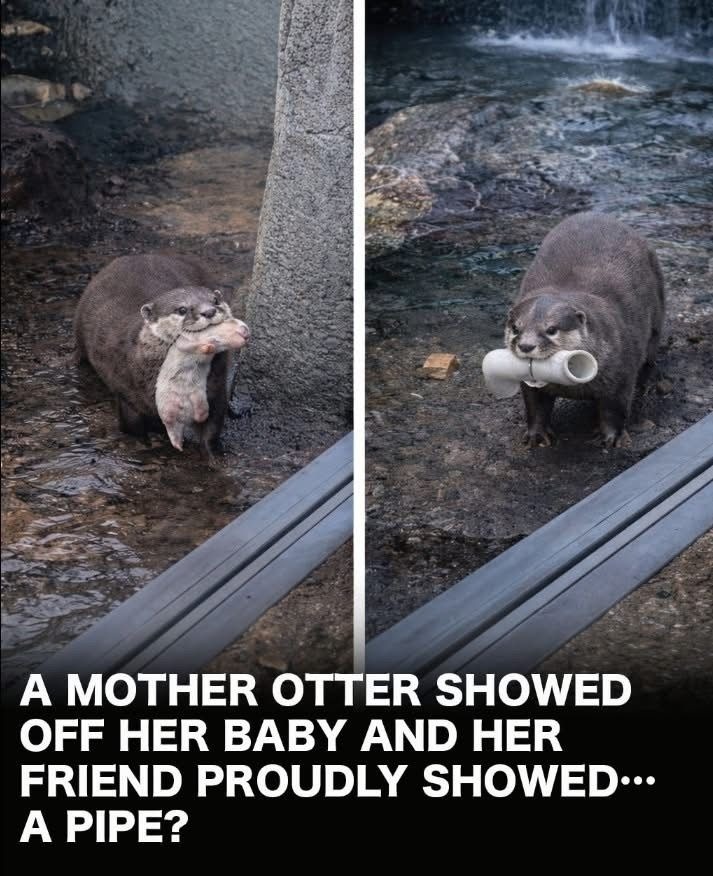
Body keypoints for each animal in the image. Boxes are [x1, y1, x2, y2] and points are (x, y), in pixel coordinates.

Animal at [74, 253, 236, 454]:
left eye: (215, 301)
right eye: (182, 309)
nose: (209, 311)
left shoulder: (215, 390)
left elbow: (212, 428)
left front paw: (213, 453)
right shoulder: (126, 391)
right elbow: (132, 426)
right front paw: (144, 443)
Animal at [156, 317, 250, 452]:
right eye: (237, 323)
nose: (247, 332)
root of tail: (186, 418)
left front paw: (211, 346)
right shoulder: (187, 337)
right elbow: (185, 344)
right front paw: (208, 346)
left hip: (199, 395)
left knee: (198, 413)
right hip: (166, 403)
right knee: (170, 423)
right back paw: (179, 445)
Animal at [506, 212, 665, 448]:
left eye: (551, 329)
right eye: (516, 328)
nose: (526, 346)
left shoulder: (621, 370)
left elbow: (615, 408)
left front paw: (611, 437)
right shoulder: (532, 388)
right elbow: (535, 406)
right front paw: (536, 435)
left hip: (657, 313)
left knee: (651, 353)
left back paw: (647, 384)